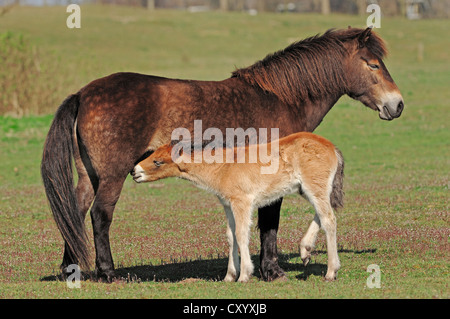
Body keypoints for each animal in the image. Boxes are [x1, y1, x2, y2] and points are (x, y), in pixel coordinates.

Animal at [131, 132, 344, 282]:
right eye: (153, 155)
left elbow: (241, 233)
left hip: (314, 187)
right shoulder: (228, 204)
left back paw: (330, 272)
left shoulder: (241, 202)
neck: (224, 166)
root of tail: (332, 147)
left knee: (329, 219)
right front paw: (229, 276)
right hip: (306, 189)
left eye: (158, 162)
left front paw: (244, 275)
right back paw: (305, 250)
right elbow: (231, 236)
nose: (134, 172)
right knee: (323, 214)